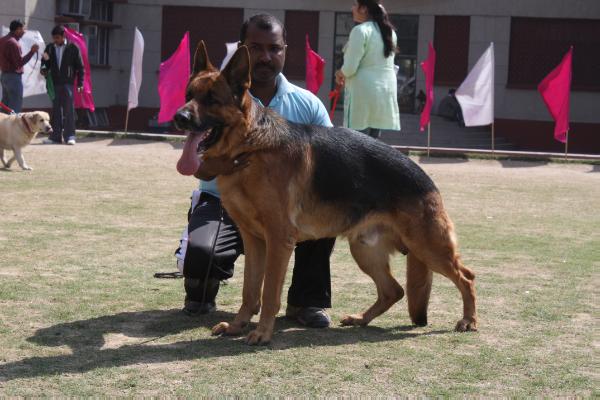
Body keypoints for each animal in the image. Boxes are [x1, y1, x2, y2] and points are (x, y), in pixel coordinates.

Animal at [176, 43, 476, 344]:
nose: (179, 117)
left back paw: (469, 320)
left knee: (466, 277)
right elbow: (249, 290)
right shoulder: (254, 241)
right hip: (365, 250)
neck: (250, 147)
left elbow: (269, 292)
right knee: (394, 290)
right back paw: (361, 319)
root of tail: (427, 180)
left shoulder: (278, 240)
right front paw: (237, 326)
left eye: (212, 99)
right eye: (189, 95)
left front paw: (262, 332)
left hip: (428, 248)